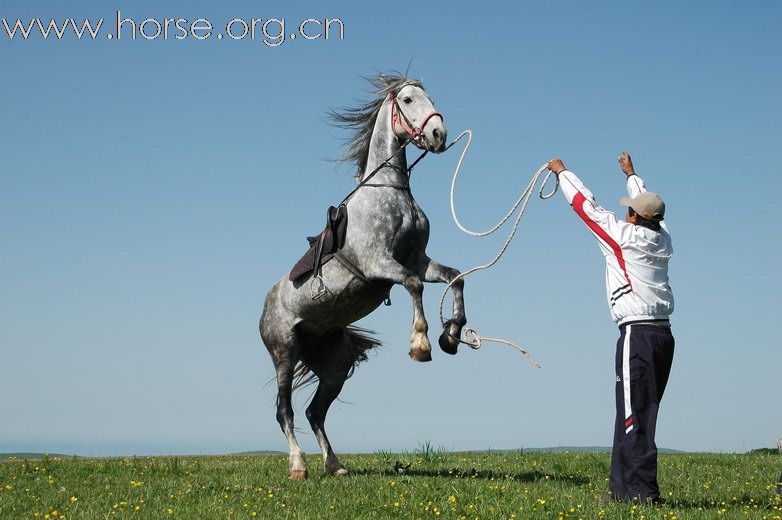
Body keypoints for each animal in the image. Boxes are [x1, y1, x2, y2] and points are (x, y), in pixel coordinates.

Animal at [260, 73, 468, 480]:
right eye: (408, 100)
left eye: (431, 99)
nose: (438, 133)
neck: (390, 191)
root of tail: (263, 309)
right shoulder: (380, 264)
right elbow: (414, 286)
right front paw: (421, 345)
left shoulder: (418, 260)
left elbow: (455, 278)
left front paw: (452, 335)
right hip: (284, 353)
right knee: (285, 411)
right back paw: (298, 467)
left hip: (334, 366)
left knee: (314, 412)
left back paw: (335, 465)